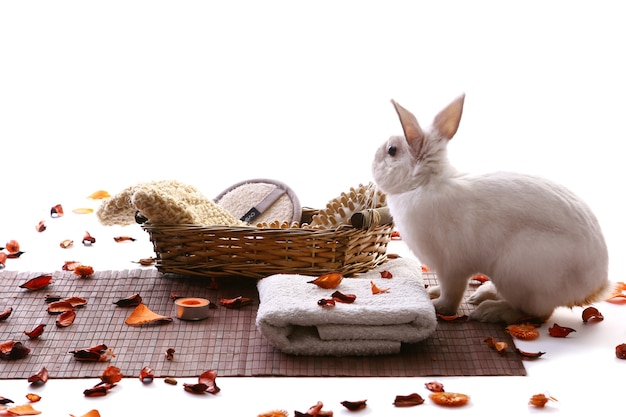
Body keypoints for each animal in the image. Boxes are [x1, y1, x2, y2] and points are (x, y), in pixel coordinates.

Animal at [370, 93, 608, 322]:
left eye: (391, 150)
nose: (372, 163)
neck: (424, 182)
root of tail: (596, 286)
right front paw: (433, 292)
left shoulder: (451, 267)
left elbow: (452, 294)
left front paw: (438, 306)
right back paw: (483, 294)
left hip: (517, 273)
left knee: (537, 313)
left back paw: (491, 311)